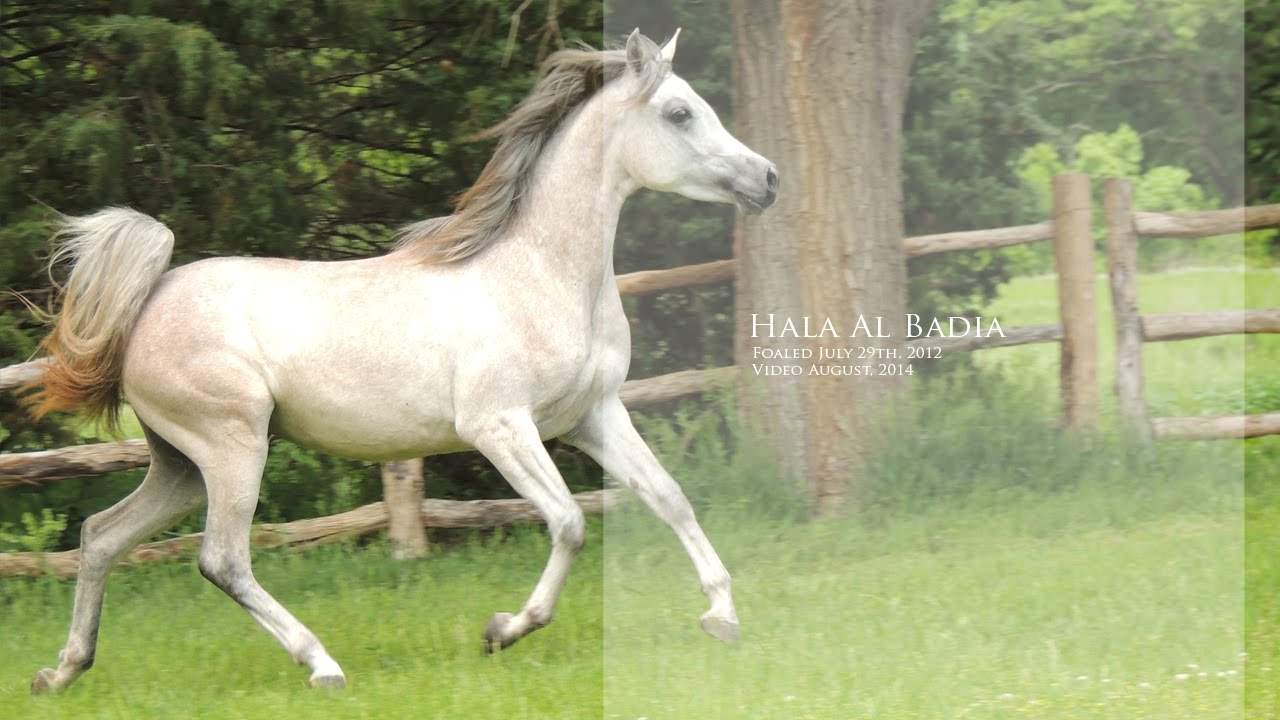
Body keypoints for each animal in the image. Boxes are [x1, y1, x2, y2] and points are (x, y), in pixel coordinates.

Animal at [25, 29, 777, 693]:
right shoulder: (498, 425)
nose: (767, 179)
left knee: (101, 536)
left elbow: (669, 496)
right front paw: (503, 629)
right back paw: (322, 666)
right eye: (678, 112)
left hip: (180, 464)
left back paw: (60, 673)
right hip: (232, 448)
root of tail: (146, 303)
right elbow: (568, 521)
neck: (542, 275)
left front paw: (722, 617)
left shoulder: (593, 415)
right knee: (222, 560)